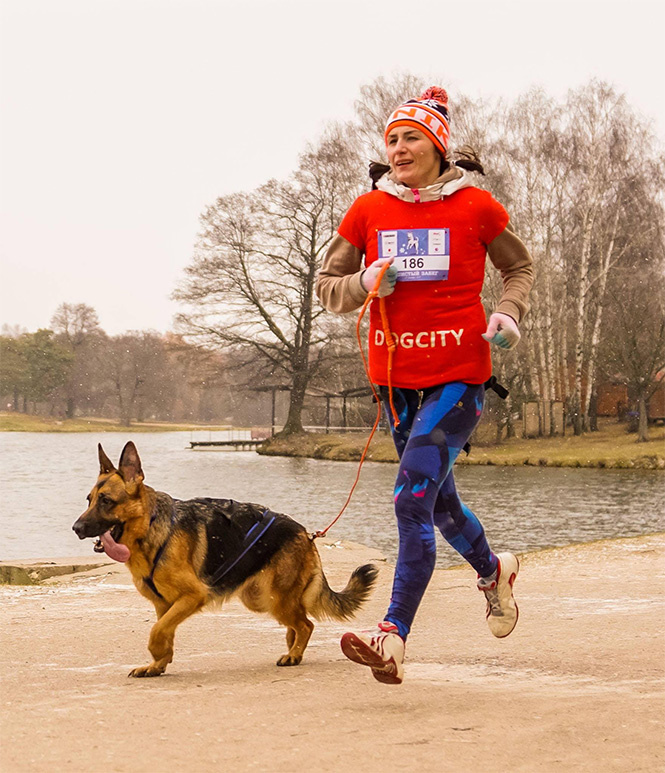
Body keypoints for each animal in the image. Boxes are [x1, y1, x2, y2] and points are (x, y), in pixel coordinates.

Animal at [71, 444, 378, 680]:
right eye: (88, 499)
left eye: (106, 501)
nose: (75, 528)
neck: (151, 527)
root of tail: (306, 533)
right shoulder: (163, 605)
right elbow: (164, 630)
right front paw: (158, 664)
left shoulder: (192, 596)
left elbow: (157, 630)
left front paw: (158, 656)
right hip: (261, 599)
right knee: (299, 621)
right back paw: (293, 648)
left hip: (275, 599)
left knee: (306, 624)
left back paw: (293, 654)